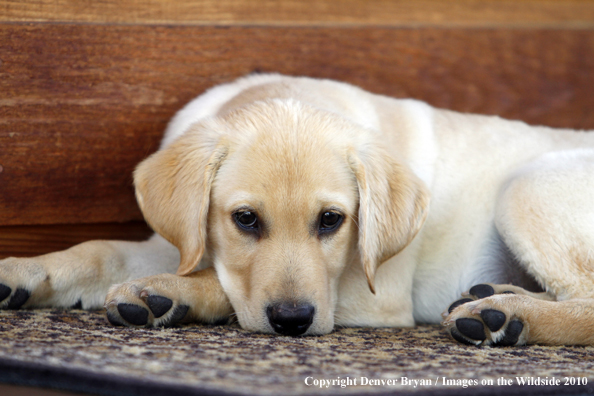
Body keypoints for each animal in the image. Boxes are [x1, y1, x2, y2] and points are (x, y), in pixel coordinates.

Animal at [1, 75, 592, 346]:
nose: (291, 323)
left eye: (331, 220)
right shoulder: (182, 241)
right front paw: (23, 271)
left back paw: (507, 316)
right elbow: (98, 250)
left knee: (585, 301)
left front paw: (169, 294)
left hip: (525, 185)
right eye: (245, 219)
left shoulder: (372, 295)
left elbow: (227, 287)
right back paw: (494, 295)